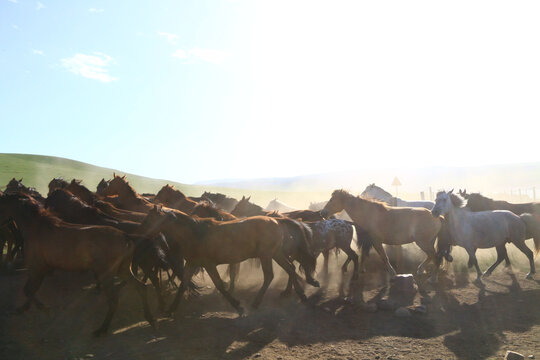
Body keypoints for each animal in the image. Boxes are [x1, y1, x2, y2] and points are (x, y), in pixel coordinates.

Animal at [137, 205, 310, 316]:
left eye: (148, 219)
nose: (139, 236)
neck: (195, 234)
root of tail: (277, 221)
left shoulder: (209, 264)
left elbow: (219, 284)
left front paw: (238, 306)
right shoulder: (193, 263)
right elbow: (183, 284)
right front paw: (171, 309)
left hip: (266, 255)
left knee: (270, 276)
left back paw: (256, 303)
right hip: (276, 254)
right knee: (290, 269)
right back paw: (299, 295)